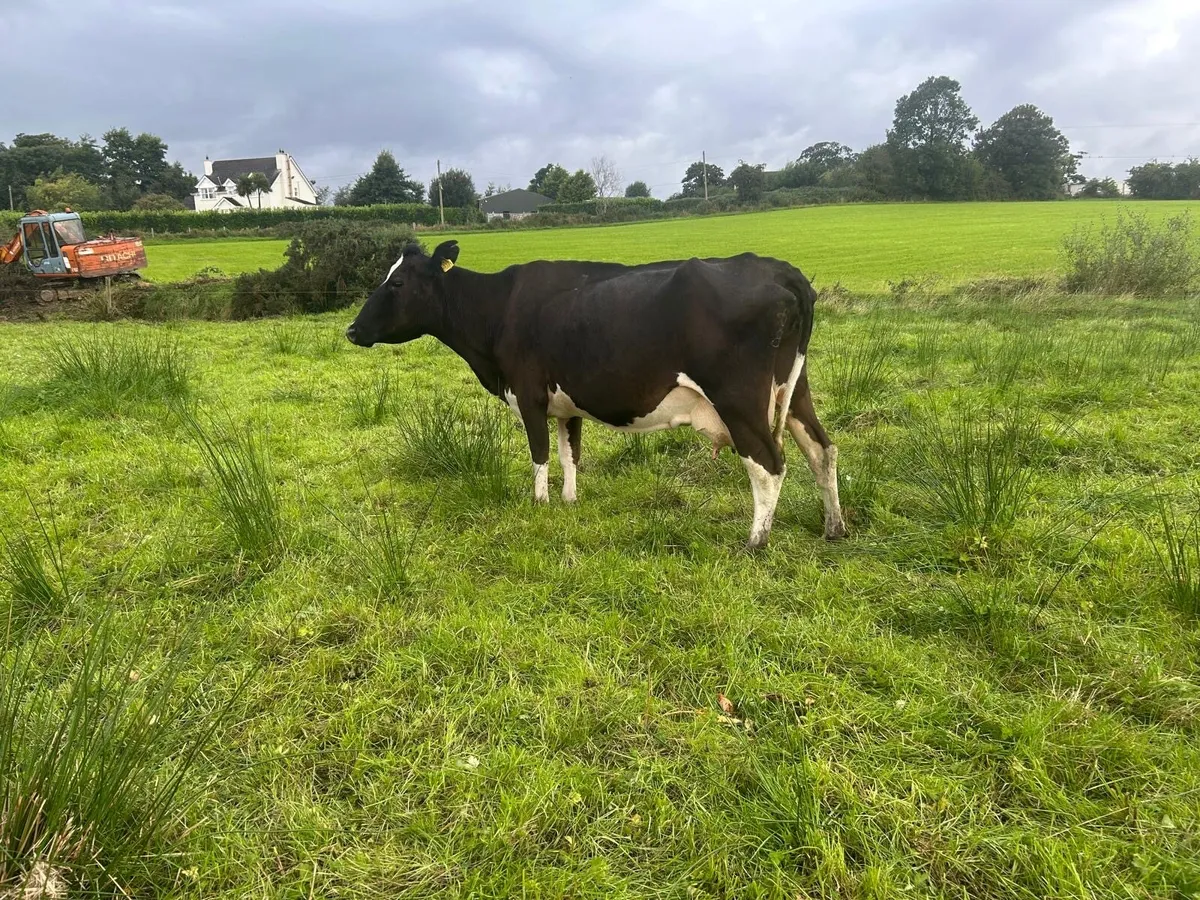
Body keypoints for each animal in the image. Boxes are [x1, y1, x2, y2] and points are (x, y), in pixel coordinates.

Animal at [345, 239, 845, 549]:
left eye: (397, 283)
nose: (351, 329)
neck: (497, 309)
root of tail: (779, 269)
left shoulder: (529, 395)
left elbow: (541, 455)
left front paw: (540, 506)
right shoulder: (567, 404)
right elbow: (570, 454)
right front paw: (569, 502)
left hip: (739, 399)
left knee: (768, 463)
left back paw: (755, 541)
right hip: (795, 391)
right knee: (822, 450)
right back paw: (833, 527)